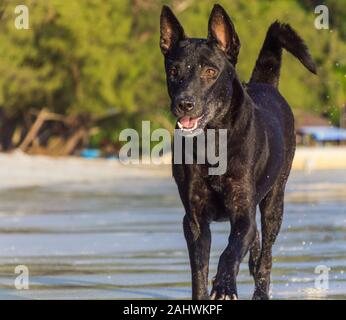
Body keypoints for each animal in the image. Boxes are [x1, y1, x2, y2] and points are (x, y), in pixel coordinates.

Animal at [159, 4, 316, 300]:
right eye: (173, 71)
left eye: (210, 71)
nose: (184, 103)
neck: (211, 142)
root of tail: (266, 84)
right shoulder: (194, 221)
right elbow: (199, 270)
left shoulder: (243, 213)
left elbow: (230, 252)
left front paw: (223, 285)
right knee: (256, 247)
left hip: (274, 201)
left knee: (265, 255)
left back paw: (260, 290)